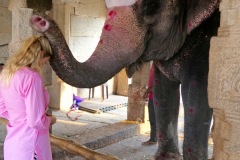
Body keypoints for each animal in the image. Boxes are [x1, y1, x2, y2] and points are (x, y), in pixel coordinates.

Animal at [30, 0, 221, 159]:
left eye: (151, 6)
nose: (39, 19)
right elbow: (162, 92)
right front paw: (166, 158)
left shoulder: (208, 45)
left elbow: (197, 96)